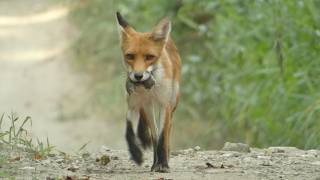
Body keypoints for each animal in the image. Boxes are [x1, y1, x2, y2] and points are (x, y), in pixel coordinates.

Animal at [116, 11, 181, 172]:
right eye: (130, 56)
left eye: (150, 57)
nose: (138, 76)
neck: (148, 91)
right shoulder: (133, 105)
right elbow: (129, 132)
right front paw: (136, 155)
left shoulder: (165, 105)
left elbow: (163, 136)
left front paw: (163, 164)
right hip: (148, 109)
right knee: (154, 134)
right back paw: (154, 163)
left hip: (172, 103)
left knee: (165, 133)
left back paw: (163, 159)